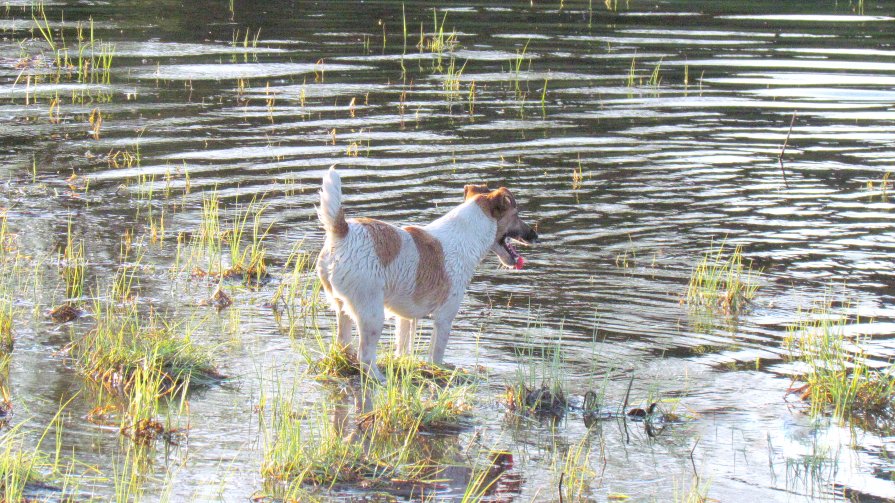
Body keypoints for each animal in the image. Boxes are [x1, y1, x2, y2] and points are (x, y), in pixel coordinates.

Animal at [316, 165, 540, 382]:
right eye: (516, 214)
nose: (536, 236)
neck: (465, 236)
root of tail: (342, 232)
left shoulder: (405, 318)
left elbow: (403, 349)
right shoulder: (444, 317)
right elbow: (436, 356)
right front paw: (439, 371)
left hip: (342, 309)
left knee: (343, 344)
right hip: (372, 314)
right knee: (365, 356)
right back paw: (380, 379)